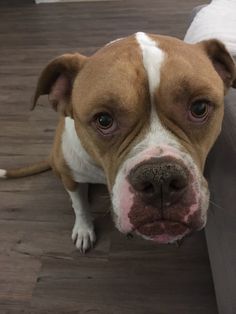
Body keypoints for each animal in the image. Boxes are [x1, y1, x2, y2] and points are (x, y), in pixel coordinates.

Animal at [0, 32, 236, 253]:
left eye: (199, 108)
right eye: (104, 120)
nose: (160, 178)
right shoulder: (69, 175)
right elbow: (79, 206)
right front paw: (84, 229)